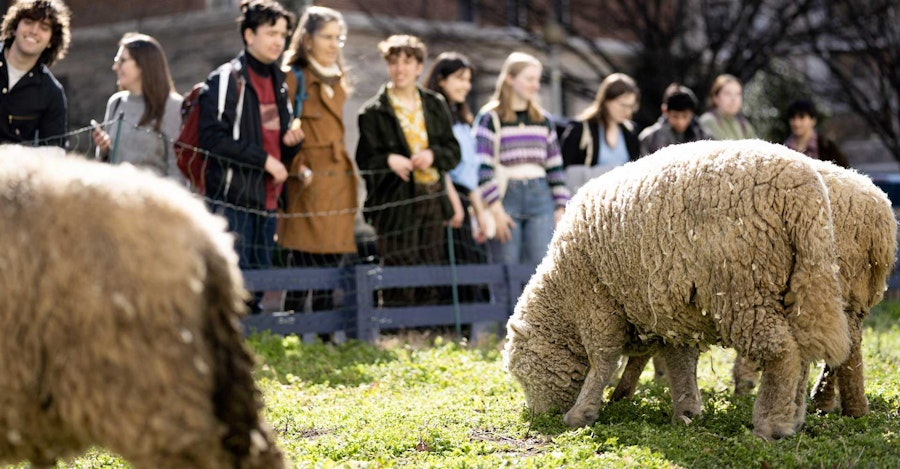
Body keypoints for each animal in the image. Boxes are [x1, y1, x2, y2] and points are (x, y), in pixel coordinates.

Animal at [503, 139, 851, 440]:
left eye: (521, 371)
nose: (537, 415)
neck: (562, 291)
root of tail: (803, 189)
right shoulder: (675, 316)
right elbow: (679, 362)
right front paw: (686, 411)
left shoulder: (595, 301)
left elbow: (603, 360)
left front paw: (581, 413)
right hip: (796, 283)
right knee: (801, 351)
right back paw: (794, 416)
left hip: (743, 290)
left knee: (783, 352)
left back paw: (771, 423)